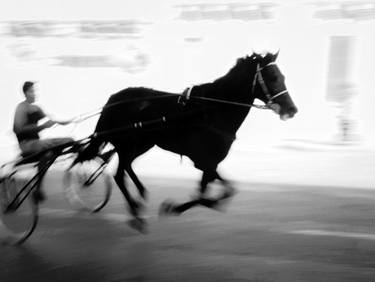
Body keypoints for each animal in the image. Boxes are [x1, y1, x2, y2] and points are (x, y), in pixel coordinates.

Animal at [78, 51, 296, 230]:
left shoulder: (211, 163)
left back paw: (140, 197)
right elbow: (207, 194)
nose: (292, 109)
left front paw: (199, 203)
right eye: (273, 77)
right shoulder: (204, 161)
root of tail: (114, 98)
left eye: (282, 77)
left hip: (140, 144)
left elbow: (224, 190)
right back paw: (136, 212)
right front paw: (174, 207)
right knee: (119, 174)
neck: (212, 110)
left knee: (125, 168)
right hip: (128, 143)